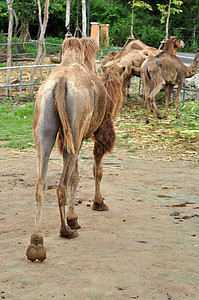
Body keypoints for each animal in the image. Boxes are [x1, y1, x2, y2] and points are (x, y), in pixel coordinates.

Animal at [25, 37, 125, 262]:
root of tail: (61, 82)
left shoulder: (69, 139)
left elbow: (76, 176)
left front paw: (74, 217)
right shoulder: (98, 133)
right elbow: (95, 171)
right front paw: (96, 205)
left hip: (45, 125)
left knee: (41, 184)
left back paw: (36, 243)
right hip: (76, 123)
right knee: (61, 185)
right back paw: (65, 231)